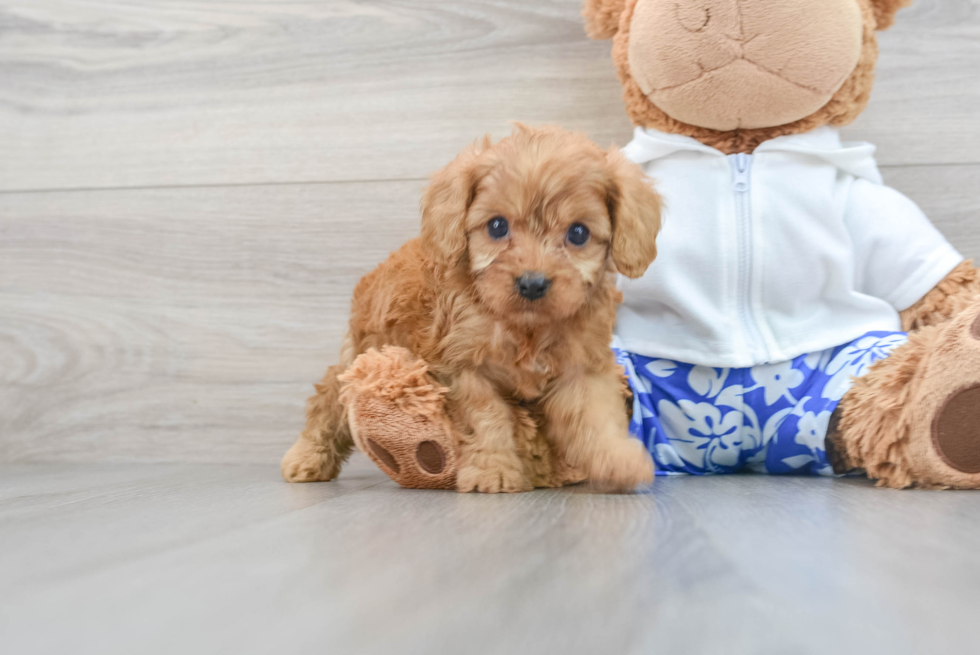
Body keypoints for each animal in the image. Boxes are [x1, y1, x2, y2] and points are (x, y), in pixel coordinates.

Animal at [284, 124, 668, 492]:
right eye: (497, 226)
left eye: (578, 233)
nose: (532, 283)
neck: (526, 328)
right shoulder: (462, 366)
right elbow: (487, 418)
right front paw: (492, 470)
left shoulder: (581, 367)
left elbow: (595, 418)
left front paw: (618, 460)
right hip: (360, 351)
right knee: (328, 402)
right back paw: (307, 458)